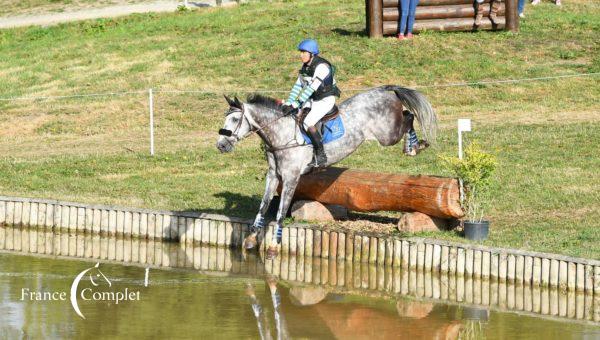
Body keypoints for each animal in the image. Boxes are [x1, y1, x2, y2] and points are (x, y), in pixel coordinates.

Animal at [216, 84, 436, 255]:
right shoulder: (273, 176)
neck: (280, 134)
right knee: (407, 115)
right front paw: (251, 239)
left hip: (387, 135)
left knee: (408, 117)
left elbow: (280, 212)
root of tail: (384, 90)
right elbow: (263, 206)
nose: (221, 145)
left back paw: (414, 147)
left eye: (234, 120)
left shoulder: (291, 178)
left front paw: (273, 247)